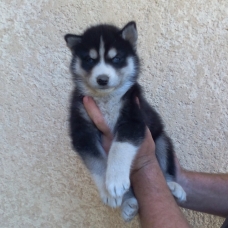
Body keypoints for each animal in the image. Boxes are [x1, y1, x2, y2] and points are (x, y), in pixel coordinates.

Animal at [63, 21, 185, 221]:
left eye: (116, 58)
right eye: (89, 60)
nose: (102, 79)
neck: (106, 98)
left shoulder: (133, 120)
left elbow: (119, 148)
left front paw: (115, 180)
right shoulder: (82, 131)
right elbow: (96, 161)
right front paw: (108, 191)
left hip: (162, 140)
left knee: (165, 167)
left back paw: (174, 187)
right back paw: (128, 204)